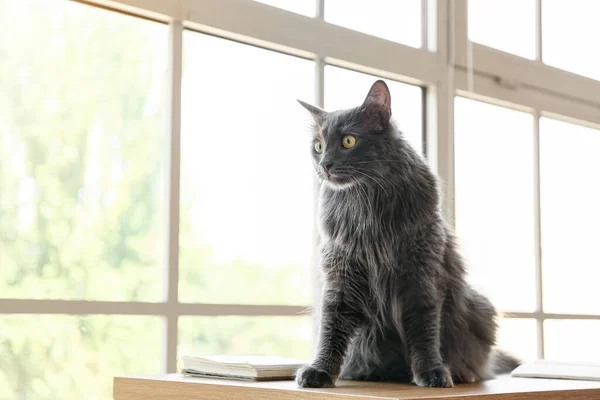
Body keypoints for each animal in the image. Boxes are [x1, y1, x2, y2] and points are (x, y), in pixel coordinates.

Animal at [296, 79, 520, 388]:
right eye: (318, 146)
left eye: (348, 141)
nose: (324, 165)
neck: (367, 206)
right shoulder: (341, 274)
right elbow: (331, 331)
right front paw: (319, 371)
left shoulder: (421, 276)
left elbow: (424, 332)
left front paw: (432, 372)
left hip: (479, 307)